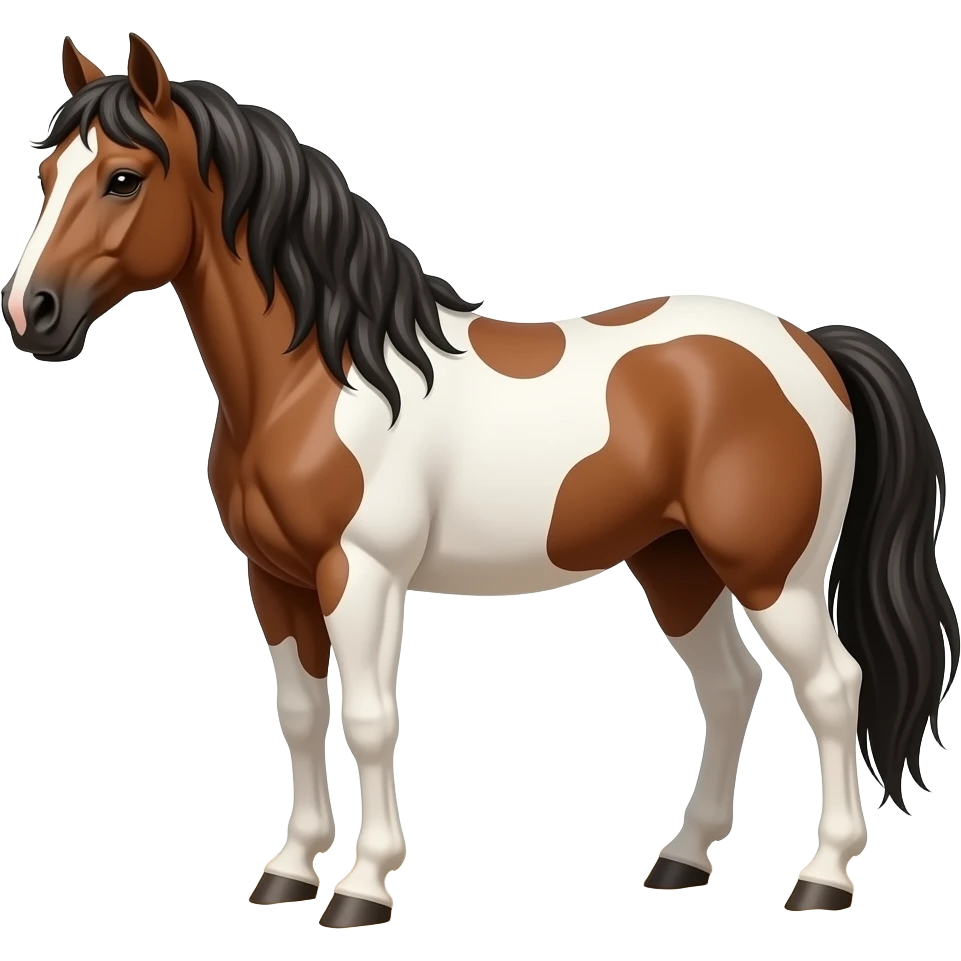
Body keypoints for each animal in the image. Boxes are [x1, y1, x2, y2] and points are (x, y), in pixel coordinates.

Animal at [2, 33, 957, 923]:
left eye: (123, 179)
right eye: (47, 172)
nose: (31, 313)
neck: (325, 379)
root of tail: (808, 344)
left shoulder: (360, 575)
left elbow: (370, 719)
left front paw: (362, 887)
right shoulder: (274, 580)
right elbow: (302, 714)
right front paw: (288, 870)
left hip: (772, 576)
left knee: (832, 689)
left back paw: (823, 876)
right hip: (675, 563)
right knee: (729, 687)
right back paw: (681, 858)